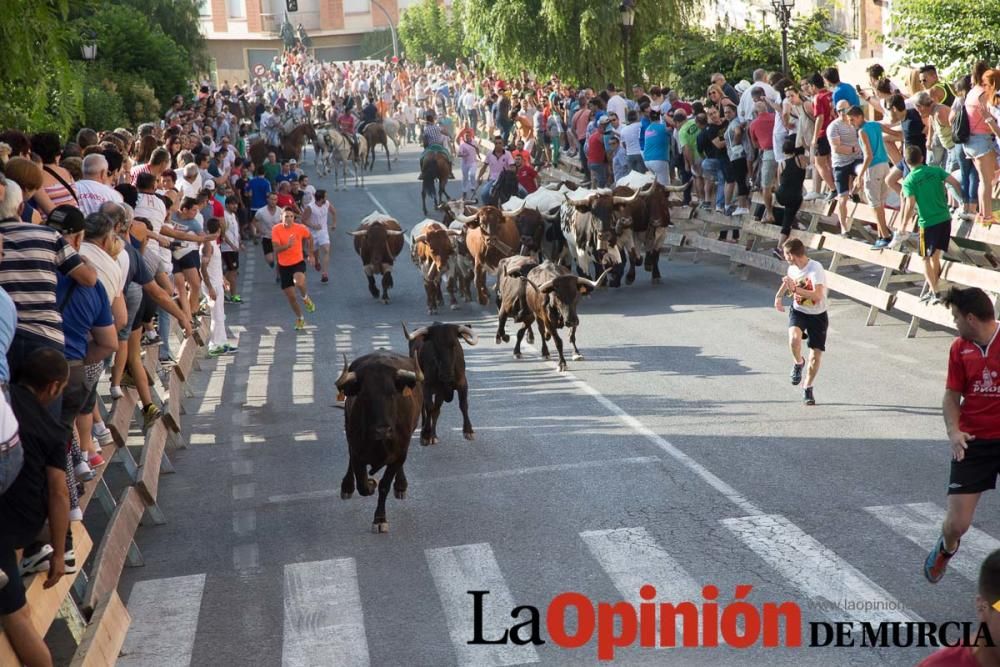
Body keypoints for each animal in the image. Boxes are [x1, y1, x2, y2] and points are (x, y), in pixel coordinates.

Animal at [336, 350, 422, 532]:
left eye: (392, 394)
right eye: (365, 395)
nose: (383, 430)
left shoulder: (399, 453)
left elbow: (384, 485)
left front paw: (380, 519)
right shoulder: (357, 452)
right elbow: (362, 485)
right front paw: (370, 483)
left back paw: (401, 486)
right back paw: (347, 487)